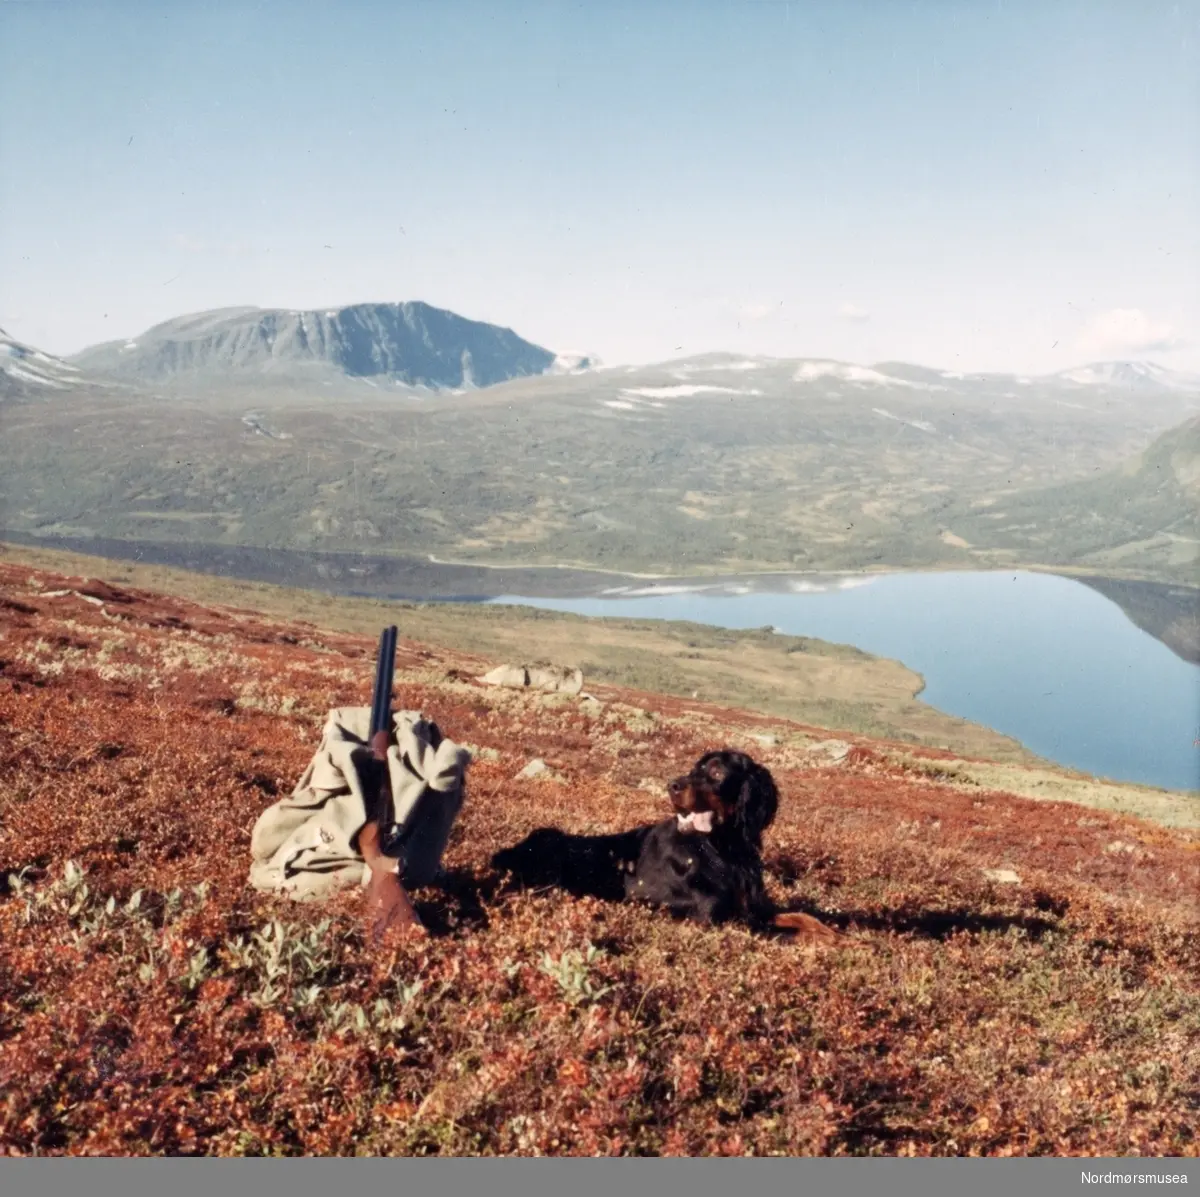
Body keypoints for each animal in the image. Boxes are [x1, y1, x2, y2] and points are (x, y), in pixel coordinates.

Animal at [492, 748, 840, 945]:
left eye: (716, 771)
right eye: (694, 769)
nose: (672, 786)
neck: (723, 850)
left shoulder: (753, 907)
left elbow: (801, 917)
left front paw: (834, 933)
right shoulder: (714, 919)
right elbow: (788, 933)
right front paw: (829, 943)